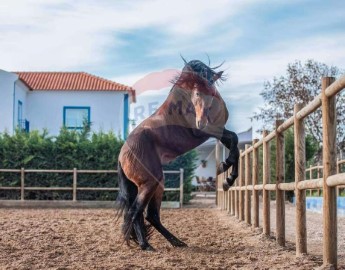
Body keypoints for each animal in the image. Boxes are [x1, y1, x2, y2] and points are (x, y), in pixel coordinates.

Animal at [117, 58, 238, 250]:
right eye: (196, 93)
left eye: (211, 90)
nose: (201, 122)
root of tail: (122, 156)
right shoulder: (208, 131)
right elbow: (234, 142)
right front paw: (226, 171)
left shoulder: (219, 131)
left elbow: (235, 144)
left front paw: (228, 178)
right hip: (149, 183)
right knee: (136, 211)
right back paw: (145, 245)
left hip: (158, 183)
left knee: (151, 215)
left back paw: (177, 242)